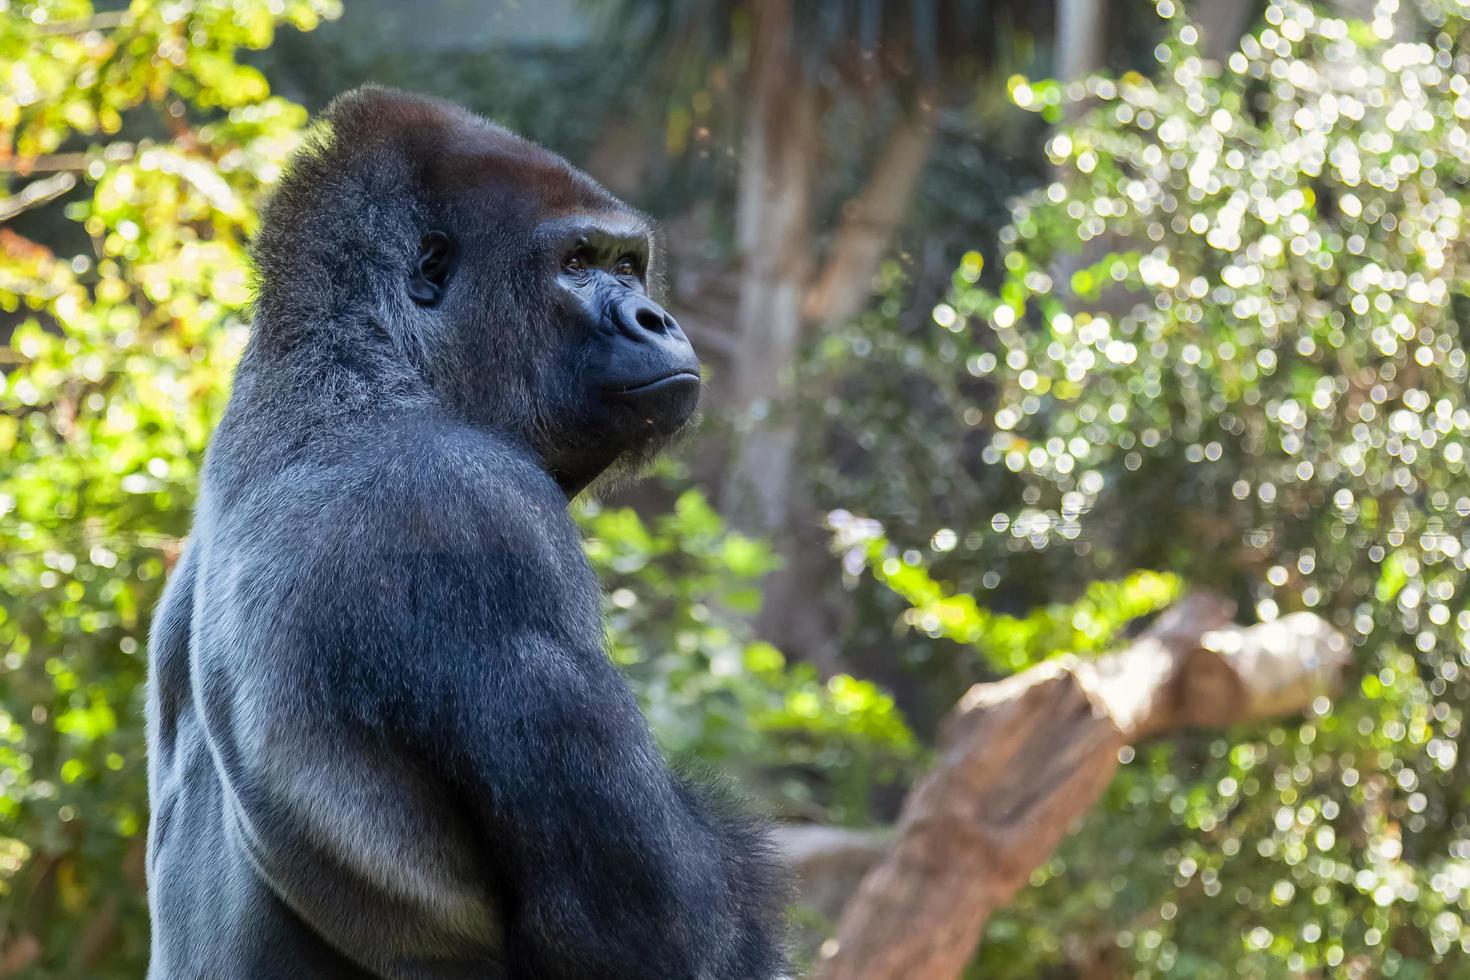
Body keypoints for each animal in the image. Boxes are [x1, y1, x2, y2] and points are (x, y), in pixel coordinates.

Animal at [147, 86, 787, 980]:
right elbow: (649, 925)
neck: (363, 368)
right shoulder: (475, 511)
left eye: (627, 265)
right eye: (578, 263)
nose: (656, 318)